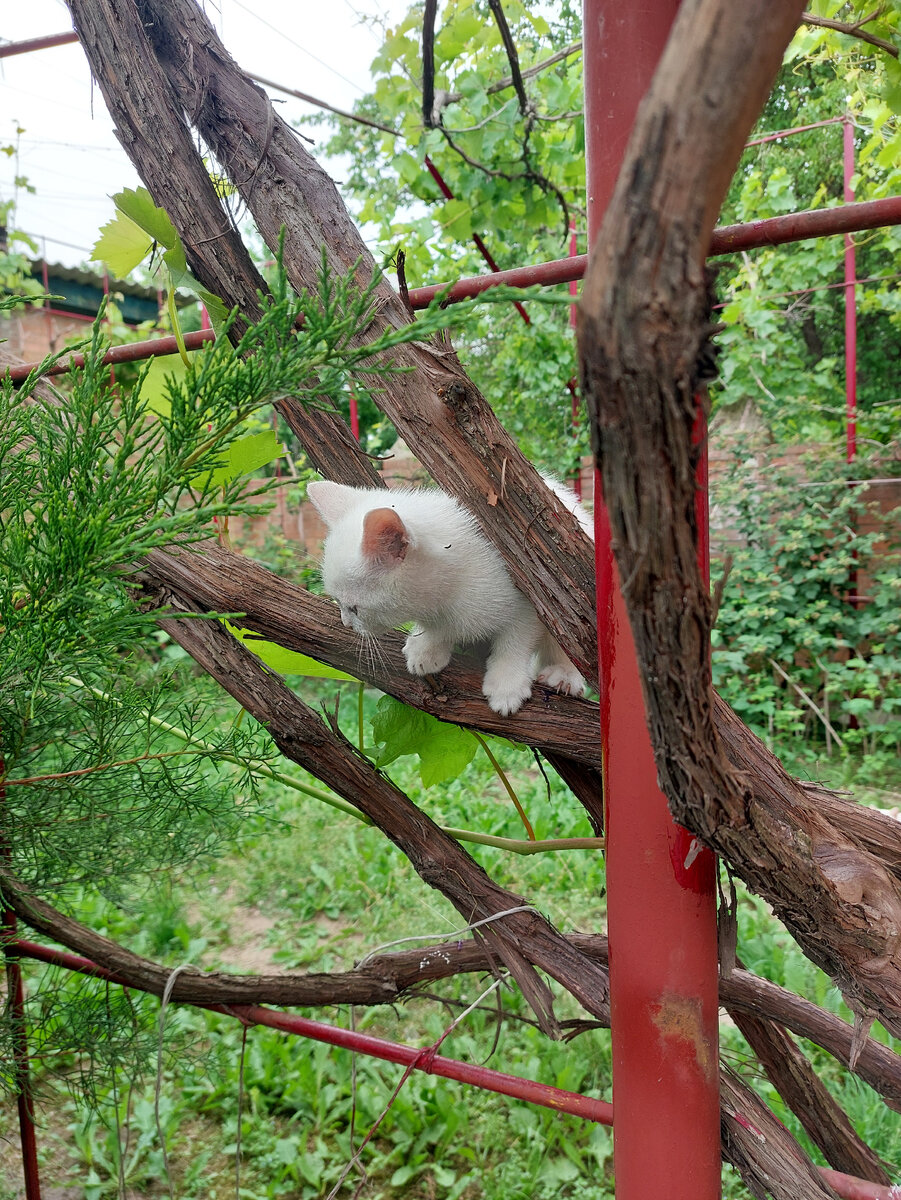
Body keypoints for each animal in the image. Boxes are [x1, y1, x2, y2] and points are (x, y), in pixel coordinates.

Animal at [309, 475, 592, 710]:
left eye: (354, 608)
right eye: (338, 602)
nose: (346, 623)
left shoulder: (531, 594)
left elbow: (517, 638)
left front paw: (506, 683)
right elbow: (440, 627)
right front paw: (427, 646)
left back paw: (565, 673)